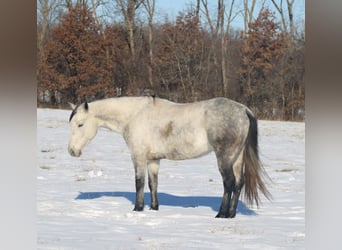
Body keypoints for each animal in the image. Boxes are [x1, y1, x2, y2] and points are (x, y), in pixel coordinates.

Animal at [68, 96, 272, 218]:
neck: (134, 115)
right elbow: (153, 184)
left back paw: (221, 214)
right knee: (238, 183)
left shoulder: (138, 157)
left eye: (80, 124)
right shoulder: (153, 159)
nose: (72, 151)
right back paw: (231, 214)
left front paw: (138, 208)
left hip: (225, 157)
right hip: (236, 158)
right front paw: (153, 208)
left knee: (229, 183)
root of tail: (244, 110)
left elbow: (139, 183)